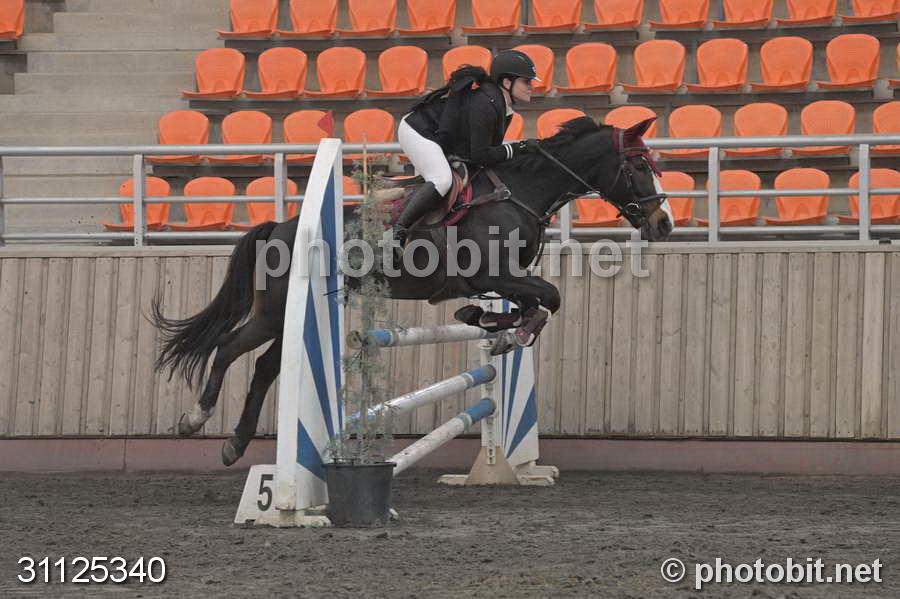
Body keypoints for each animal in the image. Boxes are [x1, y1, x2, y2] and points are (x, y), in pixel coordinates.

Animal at [151, 116, 673, 465]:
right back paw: (196, 418)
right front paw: (504, 328)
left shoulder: (504, 279)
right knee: (228, 348)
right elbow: (549, 298)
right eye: (638, 168)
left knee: (261, 365)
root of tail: (280, 226)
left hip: (280, 317)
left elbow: (538, 303)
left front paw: (487, 323)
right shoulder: (491, 275)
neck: (519, 191)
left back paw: (234, 443)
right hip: (276, 309)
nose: (663, 223)